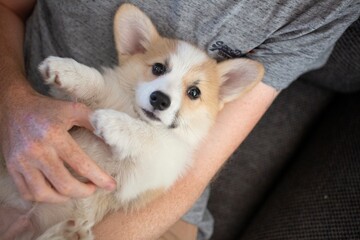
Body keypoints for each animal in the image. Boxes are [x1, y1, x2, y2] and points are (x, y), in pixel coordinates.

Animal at [0, 2, 264, 239]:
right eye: (158, 68)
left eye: (194, 92)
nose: (160, 100)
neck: (132, 111)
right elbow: (98, 84)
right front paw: (67, 70)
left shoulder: (141, 178)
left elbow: (153, 137)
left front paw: (115, 123)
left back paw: (69, 232)